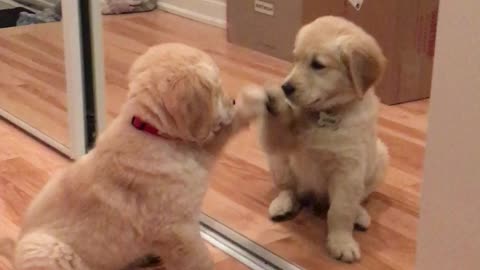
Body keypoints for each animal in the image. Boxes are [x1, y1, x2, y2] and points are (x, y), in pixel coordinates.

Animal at [0, 43, 264, 268]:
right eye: (217, 88)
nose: (231, 100)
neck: (150, 129)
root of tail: (15, 250)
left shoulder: (199, 150)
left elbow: (224, 131)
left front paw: (254, 100)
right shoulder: (177, 228)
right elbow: (199, 259)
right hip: (45, 248)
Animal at [260, 16, 388, 262]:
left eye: (318, 65)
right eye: (295, 60)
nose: (286, 87)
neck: (325, 115)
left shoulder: (348, 169)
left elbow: (341, 210)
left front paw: (341, 242)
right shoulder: (282, 141)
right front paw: (276, 99)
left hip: (380, 158)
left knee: (358, 198)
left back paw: (360, 215)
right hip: (279, 163)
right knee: (289, 188)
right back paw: (283, 203)